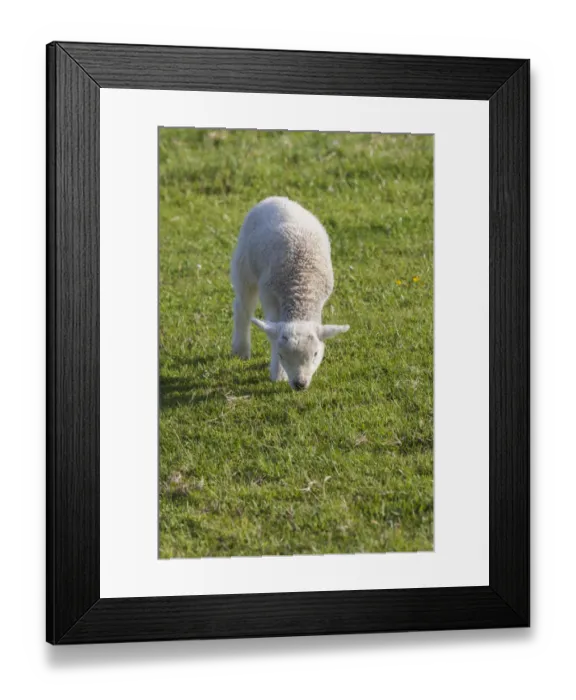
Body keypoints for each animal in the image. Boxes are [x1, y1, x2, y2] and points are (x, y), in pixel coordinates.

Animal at [231, 196, 349, 390]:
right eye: (281, 355)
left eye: (316, 354)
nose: (299, 384)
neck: (301, 290)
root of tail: (273, 198)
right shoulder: (270, 296)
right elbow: (272, 335)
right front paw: (278, 375)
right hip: (243, 266)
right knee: (243, 307)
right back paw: (241, 350)